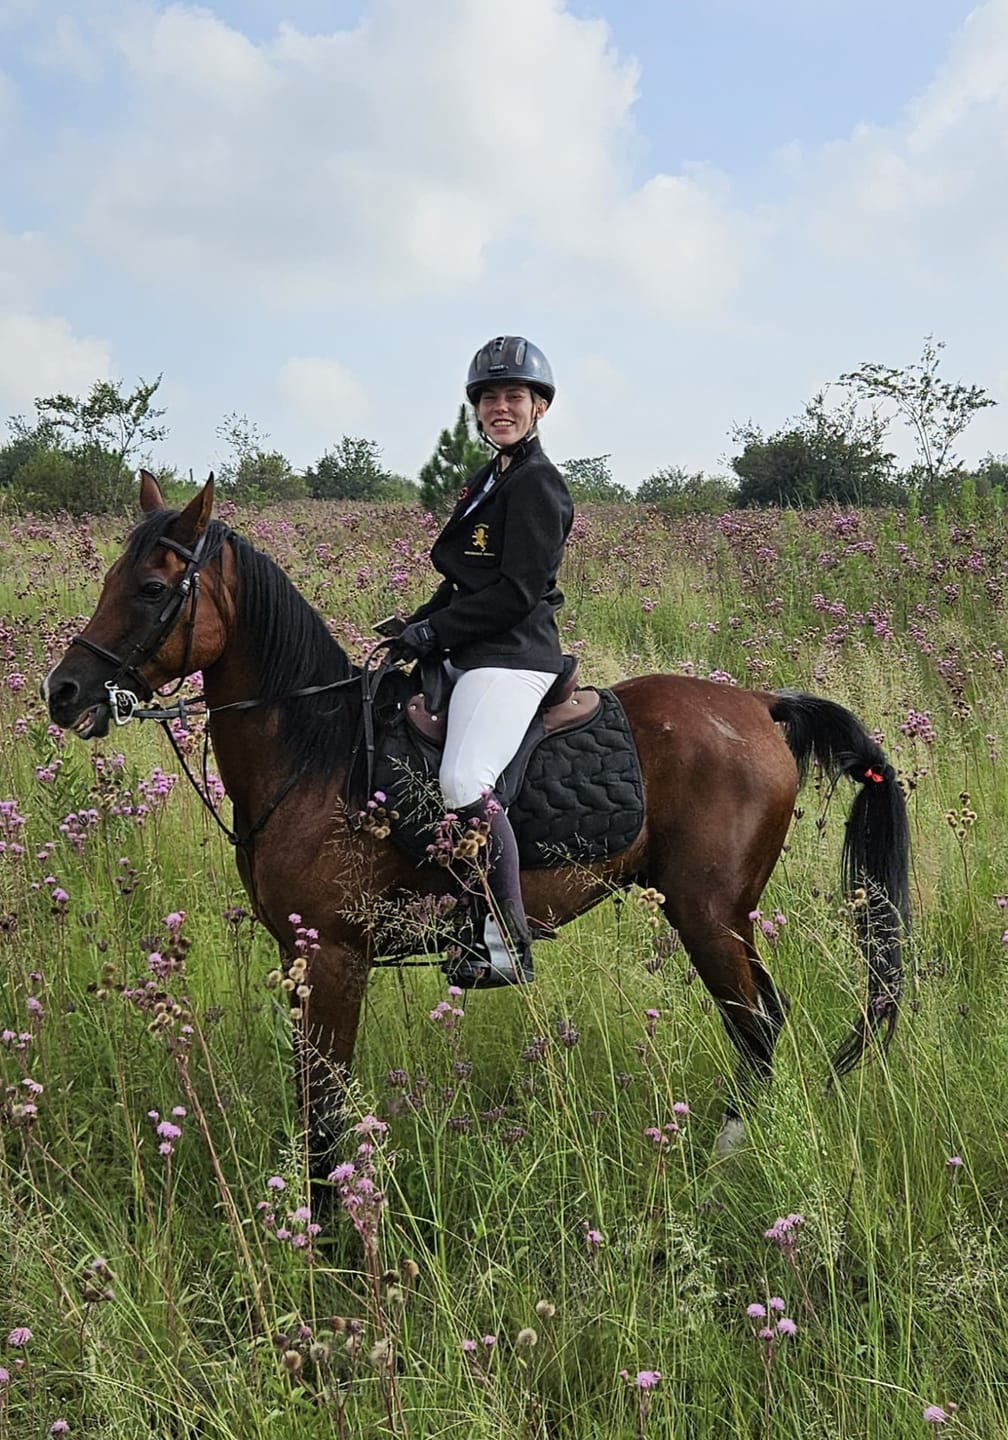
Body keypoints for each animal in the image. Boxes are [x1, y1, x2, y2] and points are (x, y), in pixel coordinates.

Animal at [42, 473, 911, 1162]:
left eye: (152, 589)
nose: (63, 692)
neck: (317, 752)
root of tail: (761, 706)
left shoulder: (335, 956)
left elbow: (325, 1118)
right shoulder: (300, 956)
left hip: (708, 913)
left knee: (757, 1027)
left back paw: (720, 1160)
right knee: (764, 1023)